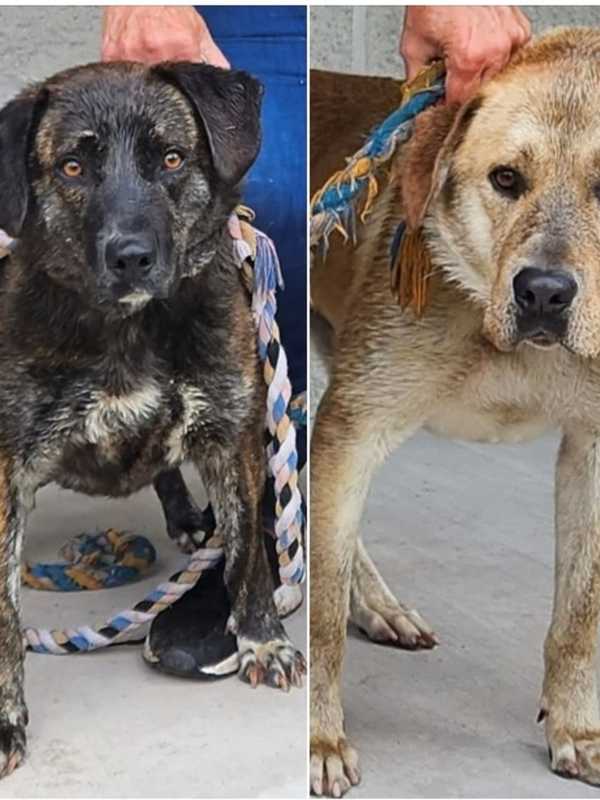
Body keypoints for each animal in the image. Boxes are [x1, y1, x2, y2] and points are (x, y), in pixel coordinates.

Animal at [0, 61, 304, 776]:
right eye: (73, 167)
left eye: (170, 158)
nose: (131, 256)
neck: (129, 330)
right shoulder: (5, 474)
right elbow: (2, 615)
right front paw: (4, 720)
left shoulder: (233, 437)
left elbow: (248, 553)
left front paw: (260, 638)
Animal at [312, 28, 600, 796]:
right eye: (506, 179)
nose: (543, 293)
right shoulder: (356, 426)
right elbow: (320, 614)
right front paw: (318, 739)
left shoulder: (593, 451)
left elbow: (579, 615)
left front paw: (576, 729)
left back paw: (379, 606)